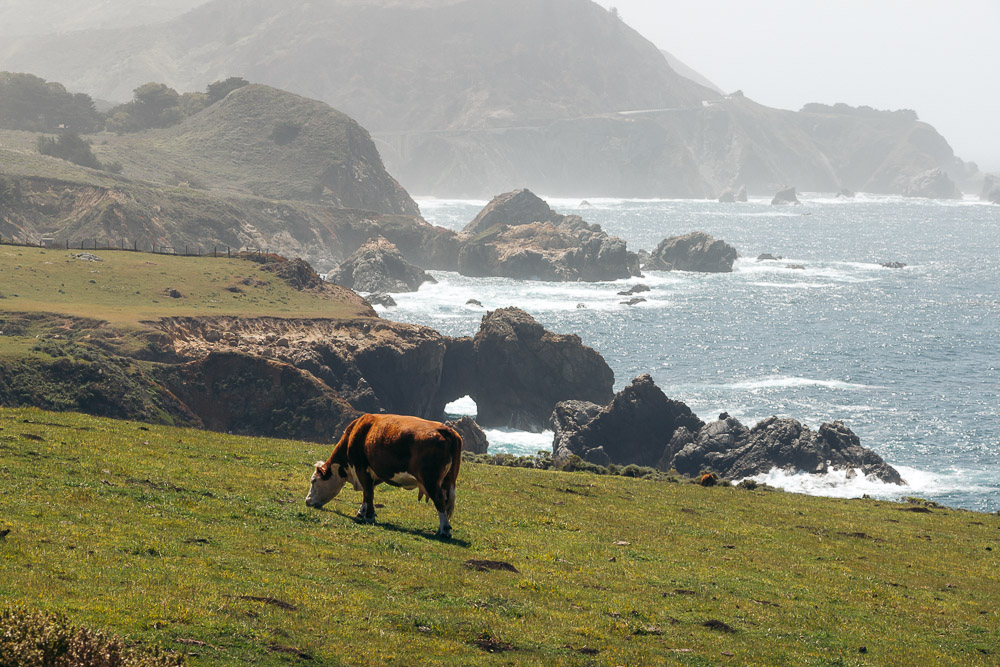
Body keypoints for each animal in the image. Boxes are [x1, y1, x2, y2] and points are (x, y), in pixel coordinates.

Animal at [304, 414, 464, 540]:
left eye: (314, 481)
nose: (307, 501)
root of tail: (446, 430)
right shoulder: (372, 471)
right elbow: (366, 493)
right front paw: (362, 513)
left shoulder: (361, 467)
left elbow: (369, 492)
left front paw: (369, 516)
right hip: (447, 480)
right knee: (446, 502)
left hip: (430, 480)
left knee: (439, 500)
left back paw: (444, 531)